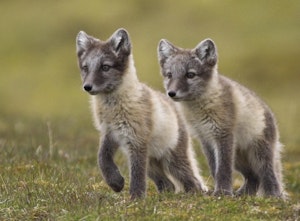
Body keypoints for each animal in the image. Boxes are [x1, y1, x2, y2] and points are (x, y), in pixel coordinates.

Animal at [75, 28, 207, 199]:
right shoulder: (109, 132)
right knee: (168, 184)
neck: (113, 108)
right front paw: (115, 182)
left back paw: (194, 194)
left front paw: (136, 198)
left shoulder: (136, 140)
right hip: (151, 164)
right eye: (85, 68)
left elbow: (137, 175)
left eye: (105, 67)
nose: (87, 87)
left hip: (172, 161)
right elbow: (102, 158)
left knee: (192, 181)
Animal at [157, 38, 286, 199]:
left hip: (259, 155)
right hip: (239, 159)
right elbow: (214, 168)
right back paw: (242, 195)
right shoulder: (205, 138)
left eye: (190, 75)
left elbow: (223, 169)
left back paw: (273, 197)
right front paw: (220, 193)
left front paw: (223, 193)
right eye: (169, 75)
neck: (199, 109)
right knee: (254, 177)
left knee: (269, 176)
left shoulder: (223, 134)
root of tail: (270, 114)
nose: (171, 93)